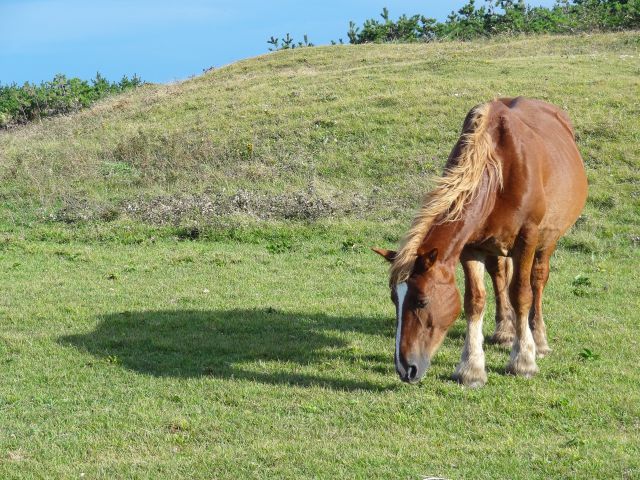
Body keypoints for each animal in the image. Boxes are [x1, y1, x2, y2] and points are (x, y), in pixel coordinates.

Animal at [372, 96, 588, 386]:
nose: (406, 369)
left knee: (537, 280)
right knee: (499, 275)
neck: (499, 168)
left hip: (547, 240)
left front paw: (523, 360)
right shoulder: (470, 246)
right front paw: (471, 367)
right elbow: (474, 301)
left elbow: (521, 294)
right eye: (395, 300)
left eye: (422, 301)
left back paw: (538, 340)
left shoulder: (527, 238)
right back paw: (505, 330)